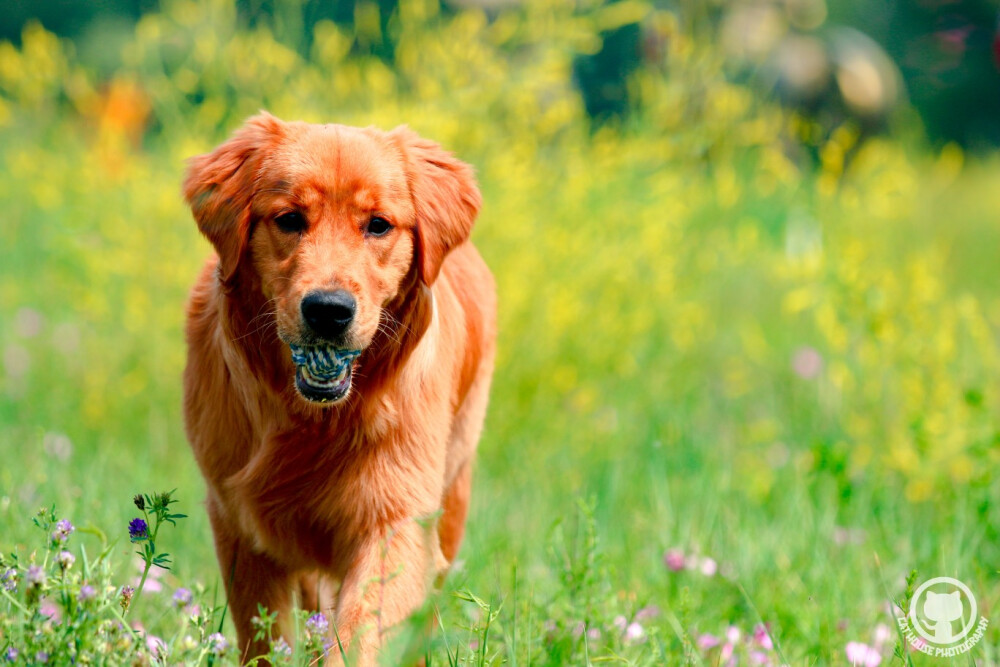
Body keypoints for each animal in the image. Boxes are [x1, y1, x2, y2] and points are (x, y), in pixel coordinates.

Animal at [182, 113, 494, 664]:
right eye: (289, 219)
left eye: (378, 225)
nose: (328, 310)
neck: (315, 421)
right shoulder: (237, 523)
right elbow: (265, 637)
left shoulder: (396, 518)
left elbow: (361, 627)